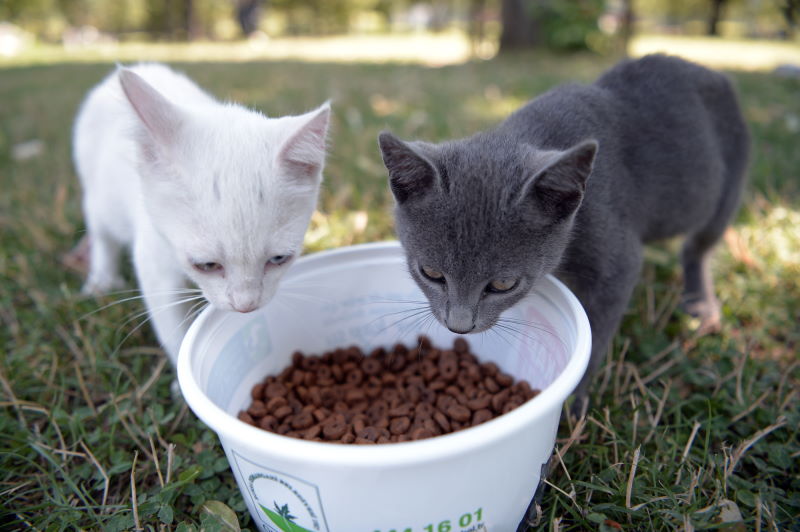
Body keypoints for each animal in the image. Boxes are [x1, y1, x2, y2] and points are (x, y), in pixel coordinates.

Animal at [72, 61, 328, 362]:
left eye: (278, 258)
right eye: (206, 265)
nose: (245, 305)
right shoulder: (153, 253)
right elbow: (170, 322)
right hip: (98, 196)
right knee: (103, 234)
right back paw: (101, 279)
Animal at [378, 54, 748, 410]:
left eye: (503, 284)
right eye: (430, 273)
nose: (459, 325)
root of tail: (713, 73)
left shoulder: (617, 262)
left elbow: (597, 333)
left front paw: (575, 403)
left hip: (728, 188)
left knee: (698, 247)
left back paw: (701, 306)